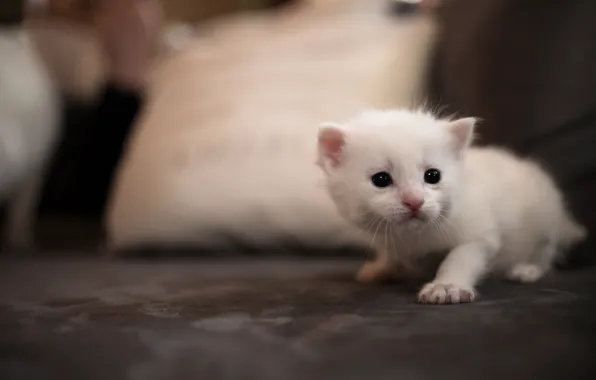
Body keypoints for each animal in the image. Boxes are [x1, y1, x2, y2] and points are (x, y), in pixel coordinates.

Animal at [316, 108, 588, 304]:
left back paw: (527, 269)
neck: (415, 237)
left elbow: (460, 257)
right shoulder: (389, 238)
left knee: (546, 251)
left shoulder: (479, 235)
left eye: (433, 176)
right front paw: (382, 268)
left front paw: (447, 287)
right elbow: (392, 253)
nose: (414, 201)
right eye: (381, 180)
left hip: (546, 220)